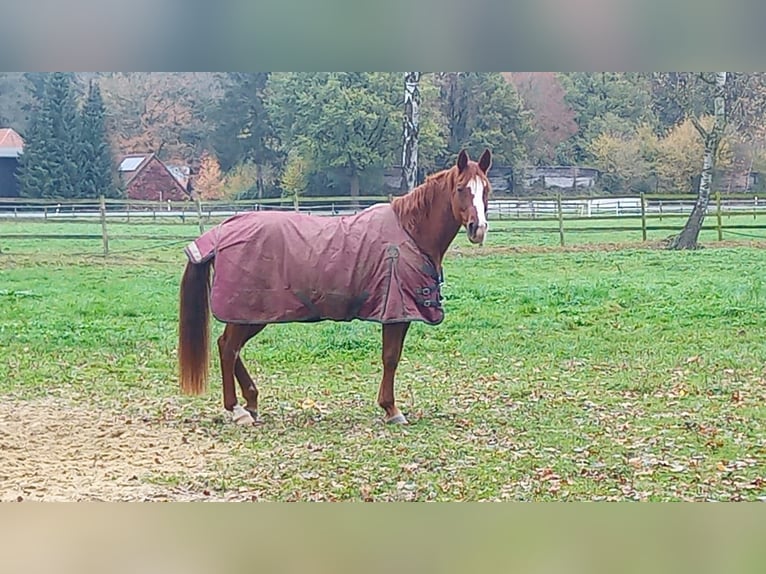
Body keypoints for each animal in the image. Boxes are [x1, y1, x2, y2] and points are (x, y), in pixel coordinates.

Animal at [178, 148, 492, 428]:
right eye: (462, 188)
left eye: (485, 190)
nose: (478, 228)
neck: (410, 233)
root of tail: (223, 230)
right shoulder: (396, 312)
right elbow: (391, 357)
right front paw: (391, 409)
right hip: (248, 311)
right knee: (228, 348)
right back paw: (237, 410)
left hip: (252, 315)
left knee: (228, 347)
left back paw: (251, 402)